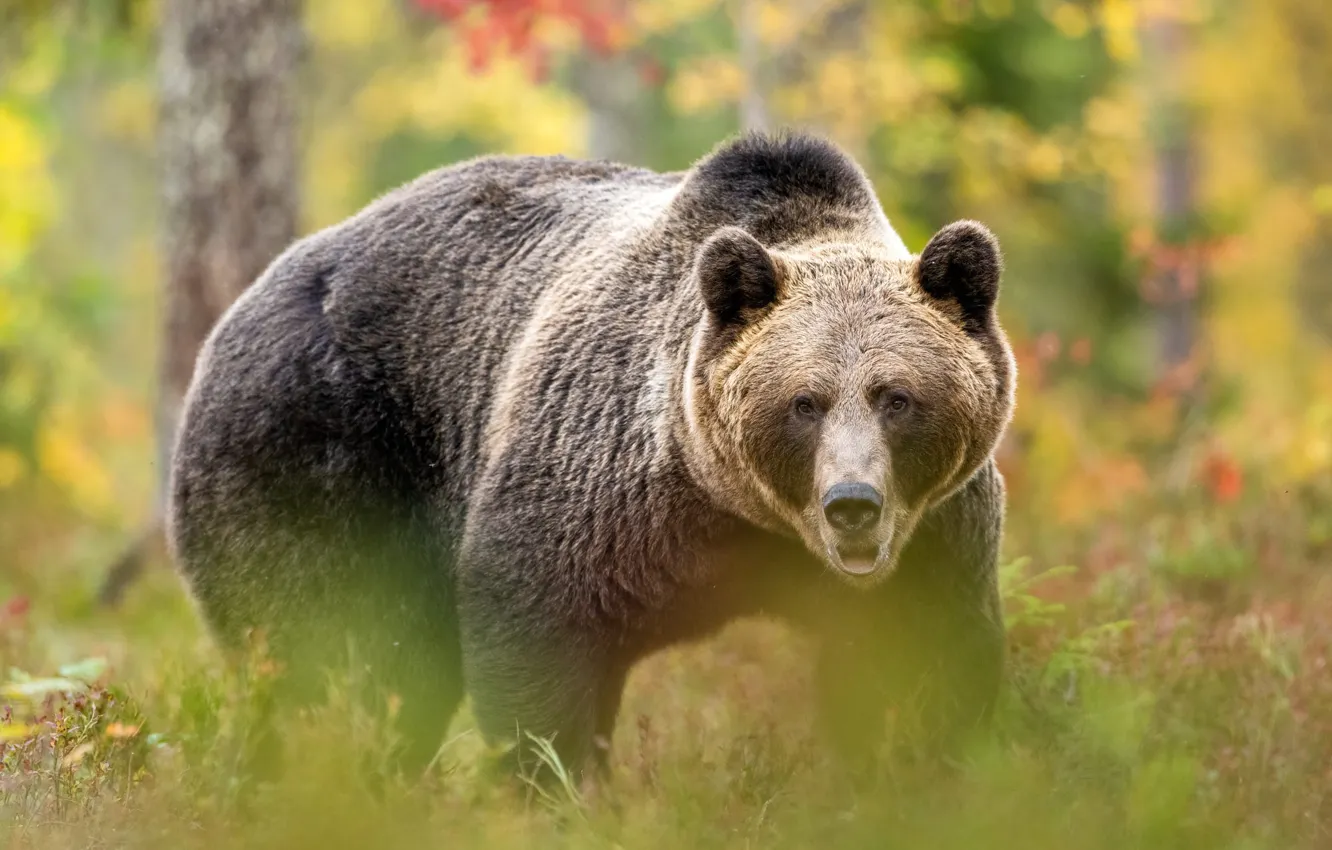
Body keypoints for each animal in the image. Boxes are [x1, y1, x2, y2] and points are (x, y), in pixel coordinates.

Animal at [167, 131, 1016, 784]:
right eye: (803, 402)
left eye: (896, 397)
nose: (852, 504)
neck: (742, 515)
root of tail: (240, 306)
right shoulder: (596, 493)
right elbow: (539, 647)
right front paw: (556, 783)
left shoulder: (933, 535)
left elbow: (924, 672)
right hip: (319, 450)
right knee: (337, 657)